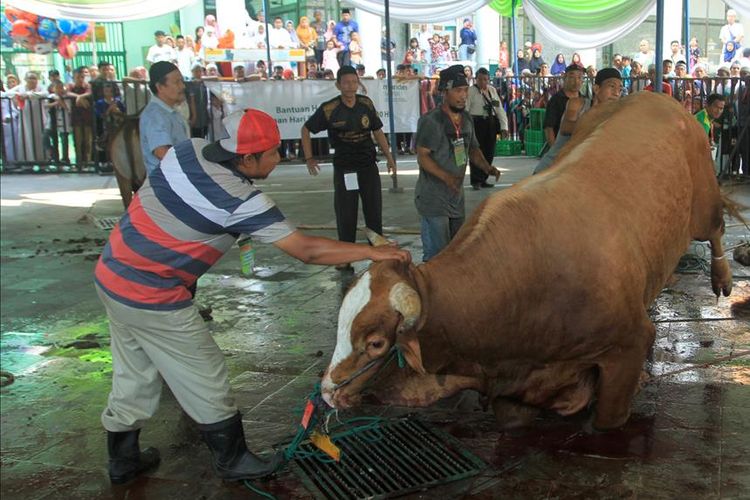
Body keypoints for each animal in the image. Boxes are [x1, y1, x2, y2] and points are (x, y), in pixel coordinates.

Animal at [322, 93, 736, 430]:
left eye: (375, 343)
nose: (327, 391)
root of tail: (657, 97)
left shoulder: (628, 347)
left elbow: (608, 419)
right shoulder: (512, 388)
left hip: (703, 201)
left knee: (716, 228)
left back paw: (722, 278)